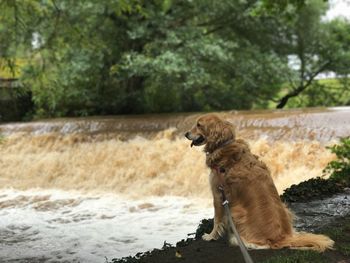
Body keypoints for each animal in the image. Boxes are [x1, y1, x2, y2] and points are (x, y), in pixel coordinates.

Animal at [185, 114, 334, 253]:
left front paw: (210, 236)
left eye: (199, 125)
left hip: (236, 211)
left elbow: (217, 220)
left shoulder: (218, 193)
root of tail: (281, 238)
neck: (224, 145)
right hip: (285, 208)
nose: (185, 134)